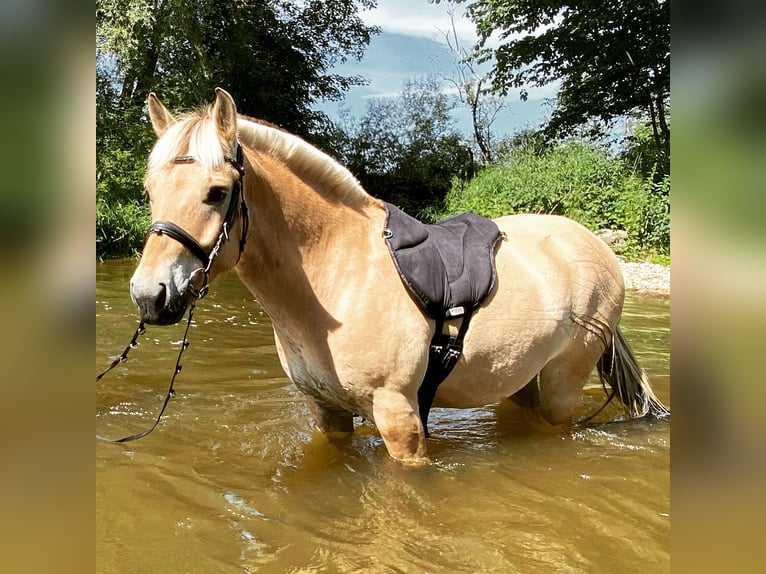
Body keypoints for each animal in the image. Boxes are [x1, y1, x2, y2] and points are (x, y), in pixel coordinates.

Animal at [129, 91, 668, 468]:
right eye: (150, 190)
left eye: (217, 192)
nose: (149, 294)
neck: (336, 276)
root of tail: (595, 245)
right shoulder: (327, 413)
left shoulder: (400, 420)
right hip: (520, 377)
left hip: (563, 383)